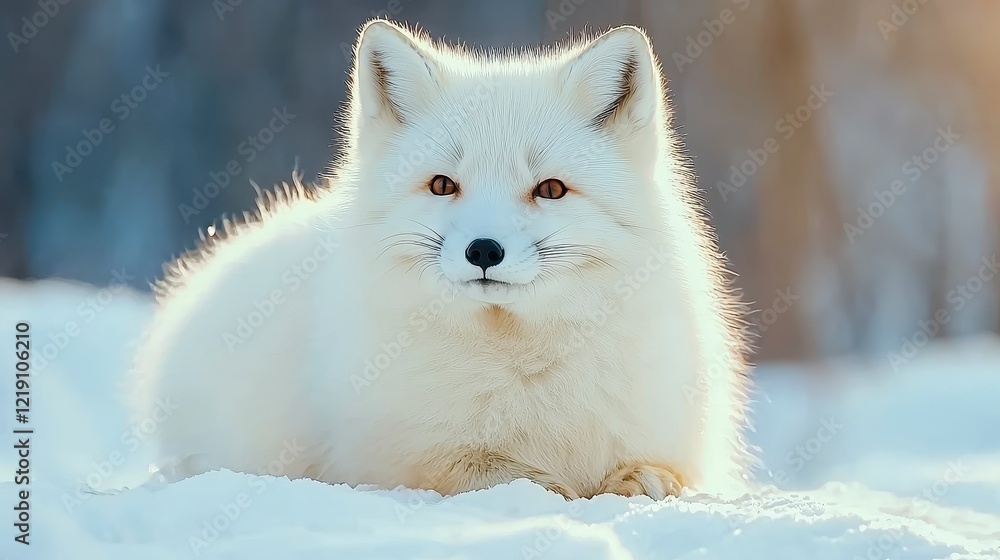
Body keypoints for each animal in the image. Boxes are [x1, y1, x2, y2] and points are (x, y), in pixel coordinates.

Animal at [127, 19, 751, 500]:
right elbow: (479, 468)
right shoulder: (383, 456)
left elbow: (655, 467)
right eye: (443, 185)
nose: (484, 251)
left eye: (550, 190)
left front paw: (637, 478)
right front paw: (543, 486)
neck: (517, 363)